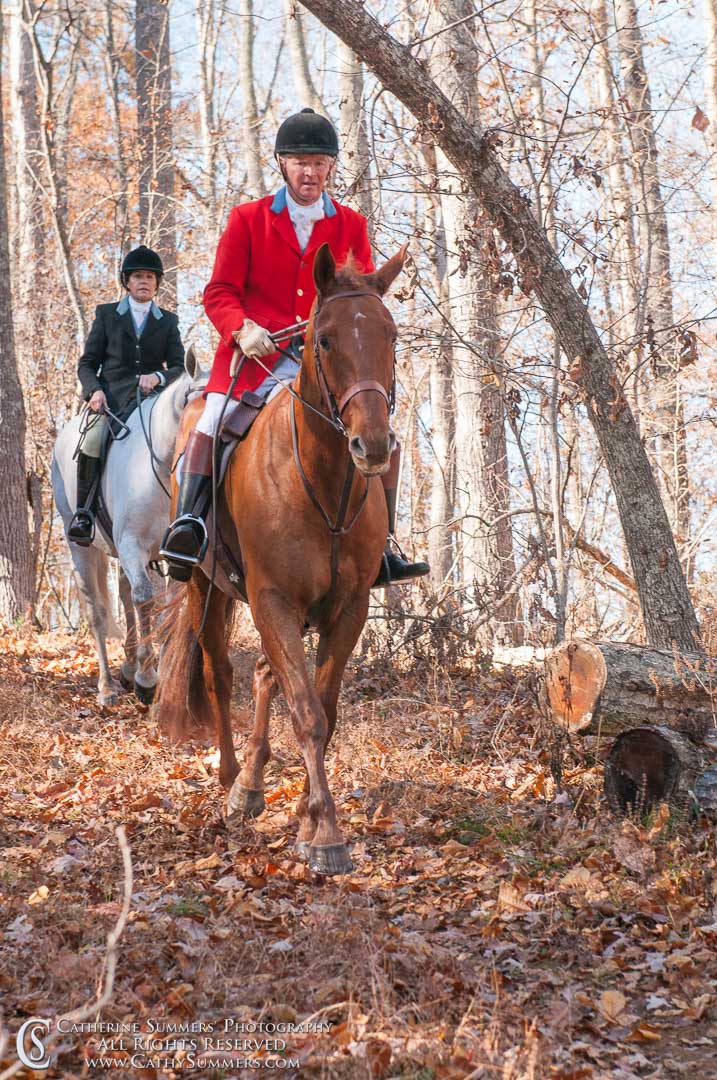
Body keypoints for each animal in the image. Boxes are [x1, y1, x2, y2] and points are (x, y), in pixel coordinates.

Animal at [52, 347, 204, 708]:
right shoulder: (133, 545)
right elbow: (146, 600)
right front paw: (147, 681)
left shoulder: (173, 557)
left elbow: (165, 611)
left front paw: (158, 683)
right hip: (81, 547)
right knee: (97, 611)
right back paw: (107, 686)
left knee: (123, 595)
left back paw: (128, 666)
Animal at [154, 245, 406, 876]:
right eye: (325, 339)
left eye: (391, 336)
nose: (373, 445)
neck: (322, 479)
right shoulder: (271, 598)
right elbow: (307, 713)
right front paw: (327, 836)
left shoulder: (349, 607)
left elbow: (324, 707)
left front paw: (308, 816)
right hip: (205, 586)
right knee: (220, 672)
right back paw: (230, 781)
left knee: (266, 675)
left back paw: (251, 781)